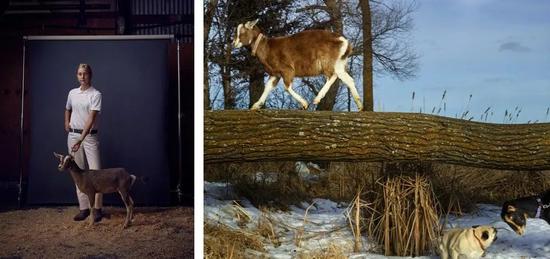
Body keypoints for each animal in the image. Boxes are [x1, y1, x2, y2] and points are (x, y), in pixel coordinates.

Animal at [235, 19, 364, 110]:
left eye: (242, 31)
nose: (234, 43)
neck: (267, 48)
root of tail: (345, 42)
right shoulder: (275, 73)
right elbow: (268, 87)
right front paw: (255, 106)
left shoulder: (287, 69)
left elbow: (287, 87)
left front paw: (304, 104)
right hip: (339, 63)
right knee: (348, 79)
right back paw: (360, 106)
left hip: (328, 62)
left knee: (332, 75)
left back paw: (317, 99)